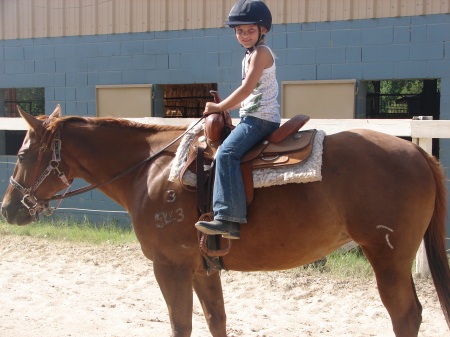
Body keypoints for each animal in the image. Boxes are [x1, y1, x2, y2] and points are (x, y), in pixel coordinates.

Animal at [2, 105, 450, 336]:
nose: (8, 209)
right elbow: (216, 321)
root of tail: (418, 152)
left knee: (406, 316)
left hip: (388, 258)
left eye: (22, 154)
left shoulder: (170, 267)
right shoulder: (202, 268)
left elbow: (181, 325)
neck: (149, 169)